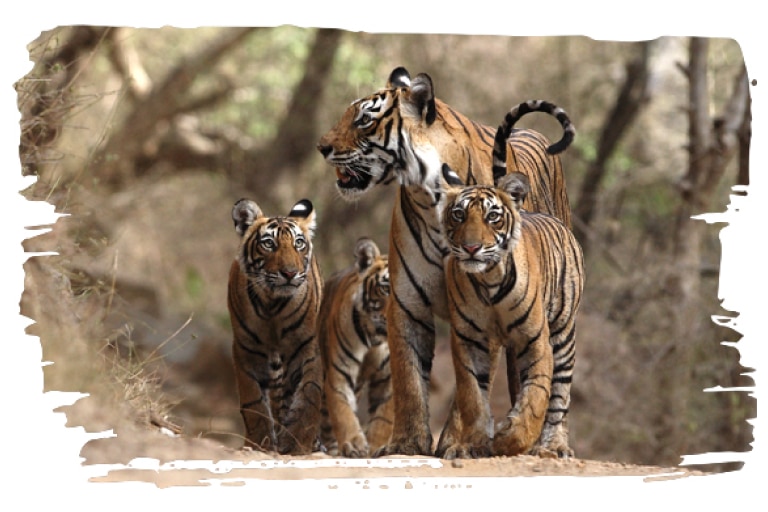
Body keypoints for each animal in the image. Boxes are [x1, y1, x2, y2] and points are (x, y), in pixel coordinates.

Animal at [227, 197, 324, 455]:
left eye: (298, 243)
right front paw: (260, 443)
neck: (272, 306)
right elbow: (254, 403)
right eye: (269, 244)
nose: (289, 273)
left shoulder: (308, 350)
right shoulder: (245, 352)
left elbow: (308, 397)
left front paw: (297, 444)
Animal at [317, 237, 393, 458]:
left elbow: (383, 418)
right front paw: (353, 444)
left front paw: (376, 446)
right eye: (386, 288)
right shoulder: (339, 373)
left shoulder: (389, 378)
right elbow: (343, 412)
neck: (376, 340)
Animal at [435, 158, 584, 460]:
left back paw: (554, 445)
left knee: (559, 396)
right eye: (458, 214)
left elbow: (537, 395)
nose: (471, 247)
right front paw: (473, 444)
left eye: (492, 216)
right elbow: (473, 396)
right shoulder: (470, 340)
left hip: (563, 334)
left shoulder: (536, 339)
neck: (489, 280)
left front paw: (510, 440)